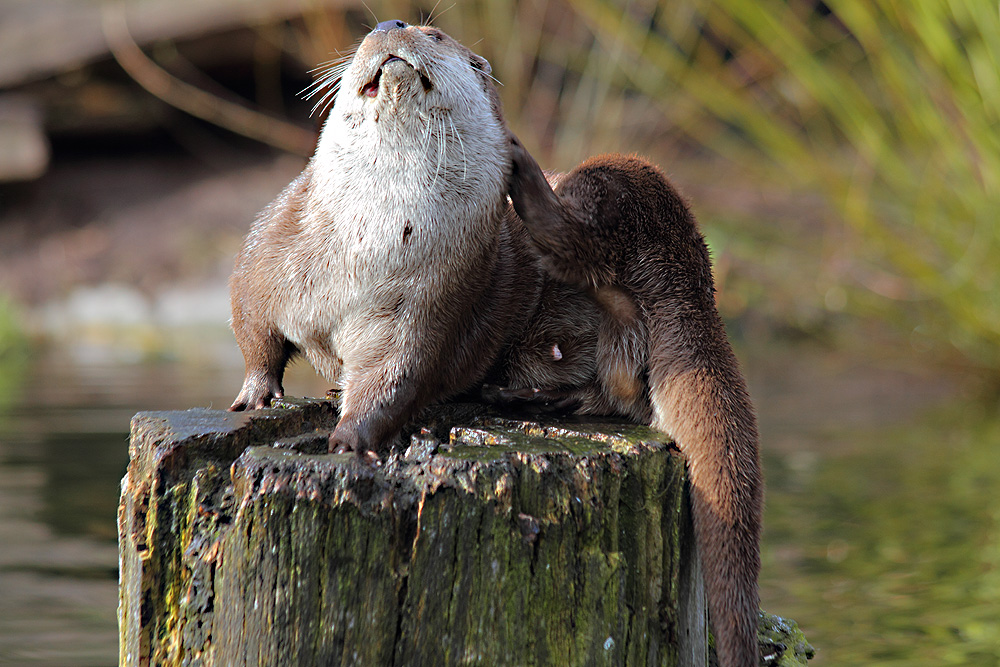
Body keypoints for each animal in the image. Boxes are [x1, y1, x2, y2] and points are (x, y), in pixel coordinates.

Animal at [230, 18, 760, 664]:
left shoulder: (430, 306)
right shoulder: (269, 254)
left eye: (434, 31)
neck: (365, 241)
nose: (392, 25)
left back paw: (524, 177)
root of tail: (696, 283)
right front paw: (257, 397)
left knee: (587, 255)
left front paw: (351, 437)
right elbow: (253, 328)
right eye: (377, 27)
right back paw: (530, 395)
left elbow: (395, 377)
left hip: (626, 188)